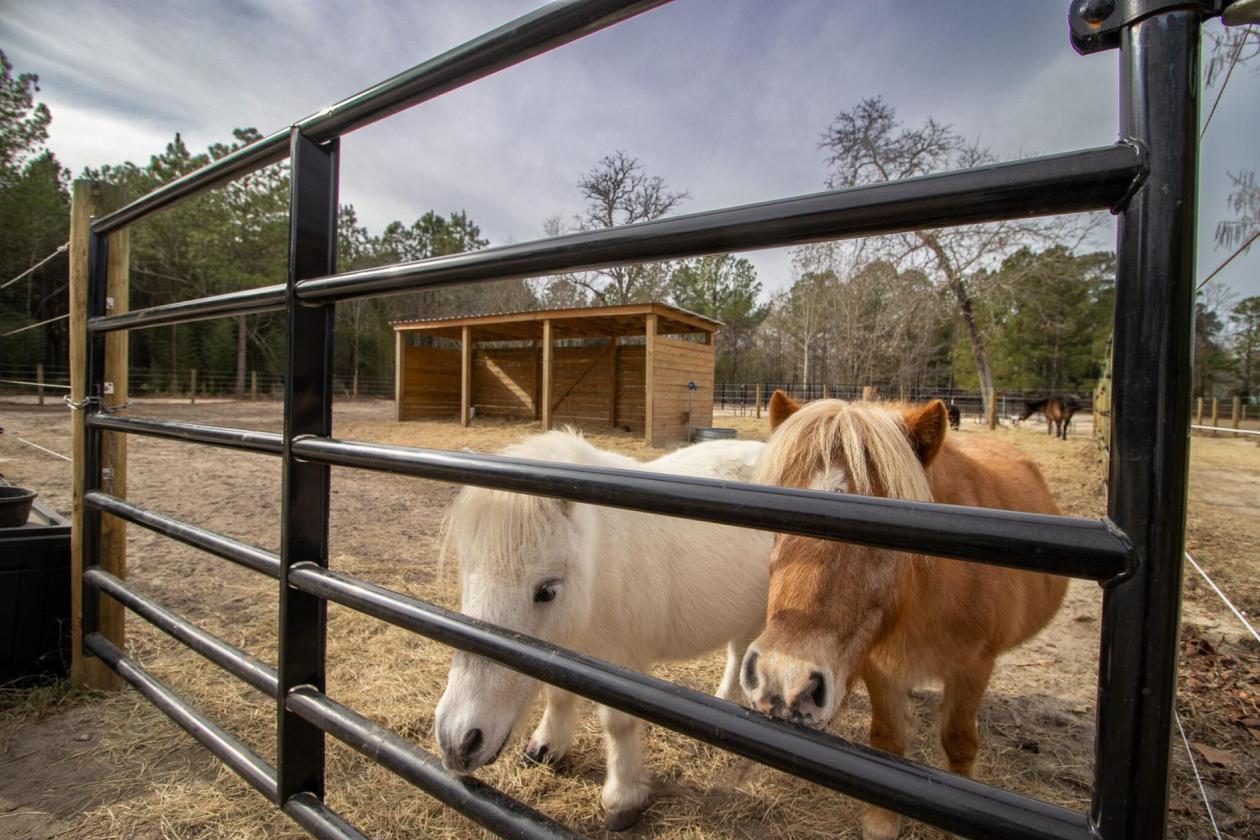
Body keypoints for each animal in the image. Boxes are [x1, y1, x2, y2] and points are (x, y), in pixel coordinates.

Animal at [434, 430, 773, 831]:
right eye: (467, 574)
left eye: (546, 590)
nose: (458, 741)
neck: (600, 569)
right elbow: (558, 696)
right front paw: (546, 747)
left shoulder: (623, 664)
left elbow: (618, 724)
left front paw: (622, 799)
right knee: (739, 649)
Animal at [741, 391, 1068, 840]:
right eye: (776, 515)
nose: (783, 682)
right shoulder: (879, 667)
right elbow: (888, 739)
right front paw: (881, 822)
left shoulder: (974, 668)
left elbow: (959, 742)